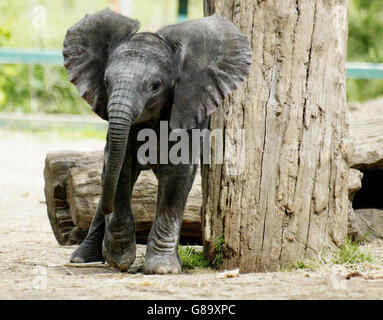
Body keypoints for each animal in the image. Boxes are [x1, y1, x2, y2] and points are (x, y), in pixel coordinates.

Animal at [63, 7, 252, 274]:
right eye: (106, 83)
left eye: (155, 86)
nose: (107, 209)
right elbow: (120, 167)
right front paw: (119, 260)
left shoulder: (188, 108)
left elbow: (177, 174)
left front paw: (162, 269)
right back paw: (81, 258)